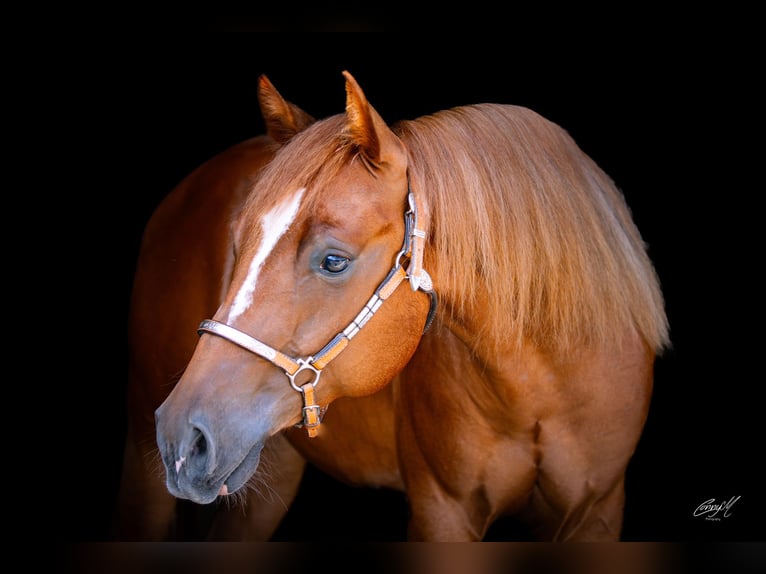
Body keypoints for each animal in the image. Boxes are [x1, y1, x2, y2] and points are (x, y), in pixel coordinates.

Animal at [150, 70, 672, 544]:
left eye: (334, 260)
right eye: (238, 243)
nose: (182, 435)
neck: (543, 384)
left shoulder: (597, 511)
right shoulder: (443, 511)